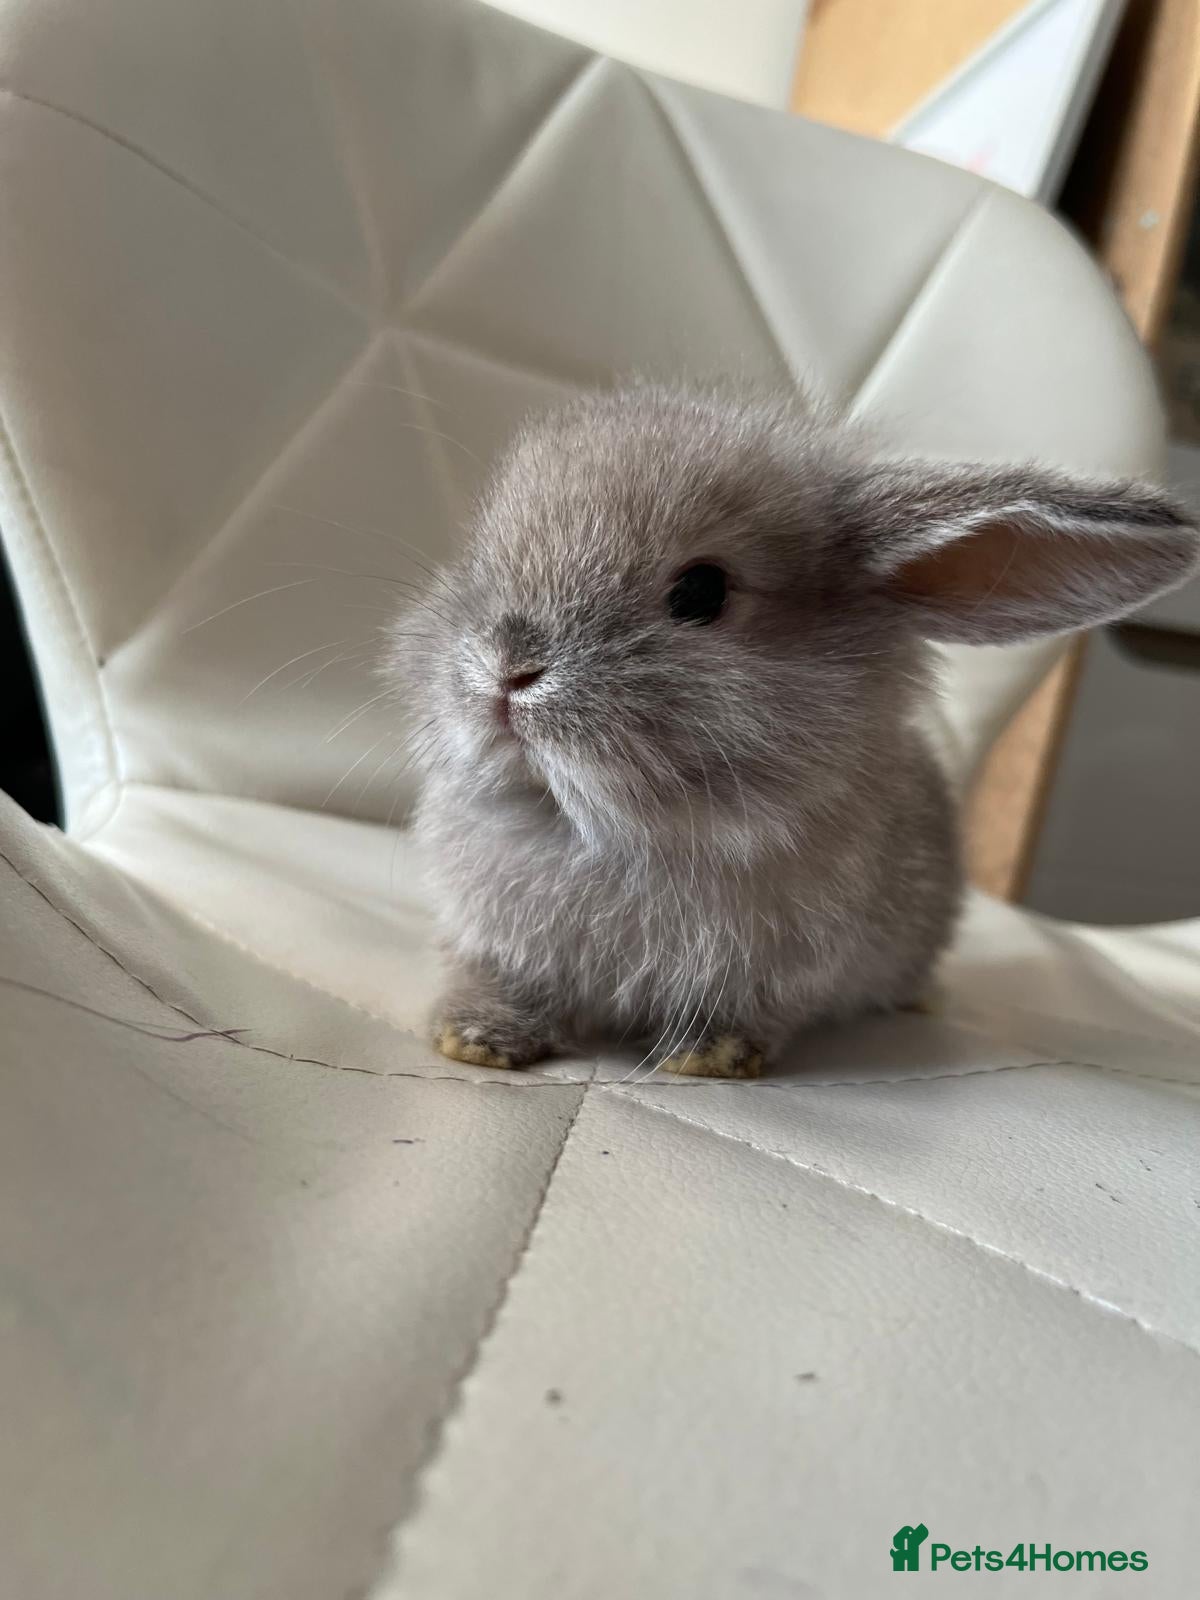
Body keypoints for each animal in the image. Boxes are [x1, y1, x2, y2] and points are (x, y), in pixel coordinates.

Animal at [384, 385, 1199, 1077]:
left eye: (701, 592)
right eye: (481, 552)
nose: (508, 669)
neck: (593, 829)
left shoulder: (775, 974)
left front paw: (707, 1057)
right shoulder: (490, 943)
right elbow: (496, 983)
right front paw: (475, 1039)